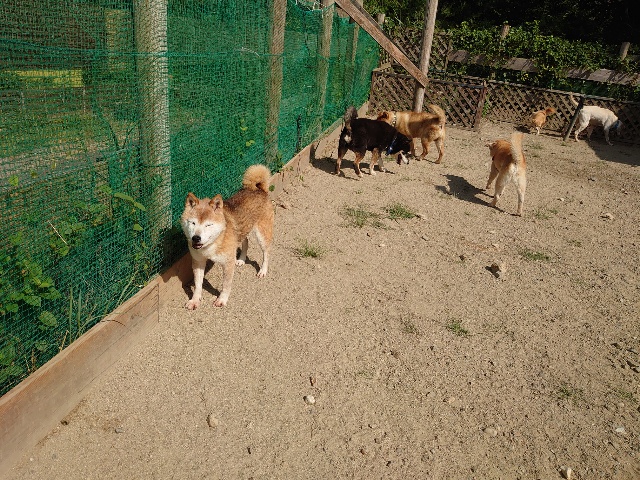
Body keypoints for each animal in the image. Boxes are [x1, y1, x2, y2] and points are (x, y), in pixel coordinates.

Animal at [181, 164, 274, 309]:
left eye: (208, 225)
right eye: (193, 223)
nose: (196, 238)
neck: (214, 243)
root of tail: (259, 189)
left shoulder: (228, 263)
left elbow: (226, 285)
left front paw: (222, 299)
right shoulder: (198, 261)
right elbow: (197, 285)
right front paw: (195, 300)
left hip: (262, 235)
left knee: (266, 252)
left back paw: (263, 271)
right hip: (241, 231)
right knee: (245, 241)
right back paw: (241, 259)